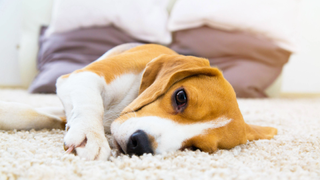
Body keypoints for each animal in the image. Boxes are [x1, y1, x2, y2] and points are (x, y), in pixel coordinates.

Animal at [0, 43, 276, 160]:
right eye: (181, 96)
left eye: (197, 148)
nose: (140, 143)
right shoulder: (81, 77)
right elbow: (89, 105)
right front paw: (91, 136)